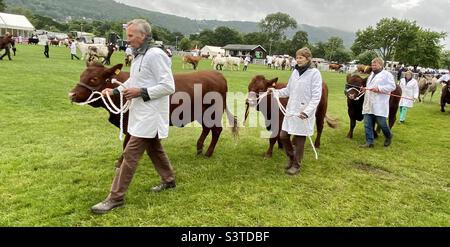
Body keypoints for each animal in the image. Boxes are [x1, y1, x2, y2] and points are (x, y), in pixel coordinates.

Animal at [68, 63, 237, 162]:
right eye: (81, 75)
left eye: (94, 79)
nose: (71, 94)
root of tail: (218, 74)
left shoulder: (130, 124)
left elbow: (126, 144)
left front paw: (121, 161)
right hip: (202, 114)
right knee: (207, 129)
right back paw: (199, 149)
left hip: (213, 112)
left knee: (216, 130)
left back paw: (208, 152)